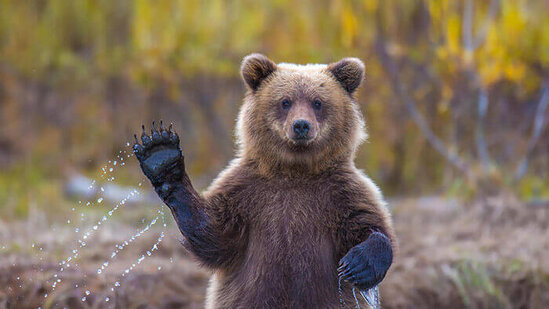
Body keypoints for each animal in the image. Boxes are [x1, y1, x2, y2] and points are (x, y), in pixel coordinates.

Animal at [135, 54, 396, 306]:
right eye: (285, 101)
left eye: (317, 102)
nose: (301, 125)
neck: (295, 170)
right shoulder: (246, 192)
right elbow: (214, 234)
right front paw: (161, 154)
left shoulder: (341, 192)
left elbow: (369, 225)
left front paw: (359, 264)